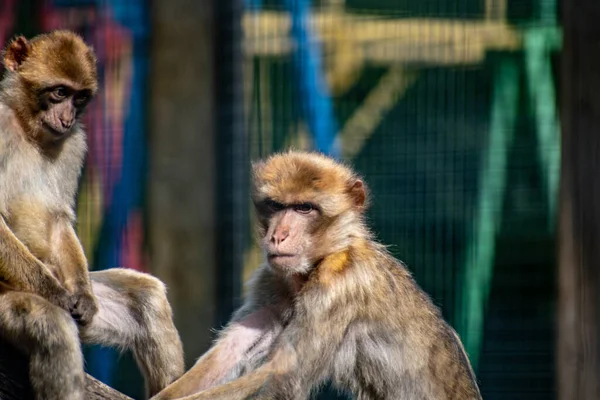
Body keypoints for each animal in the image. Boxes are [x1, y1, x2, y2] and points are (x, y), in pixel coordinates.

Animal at [0, 28, 183, 400]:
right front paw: (54, 294)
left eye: (80, 98)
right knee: (54, 329)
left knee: (146, 296)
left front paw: (81, 296)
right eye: (59, 92)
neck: (27, 128)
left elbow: (58, 219)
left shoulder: (74, 142)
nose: (68, 118)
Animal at [155, 150, 482, 400]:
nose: (278, 236)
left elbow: (281, 377)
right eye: (276, 205)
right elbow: (230, 356)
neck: (312, 268)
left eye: (304, 208)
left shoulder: (338, 285)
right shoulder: (271, 282)